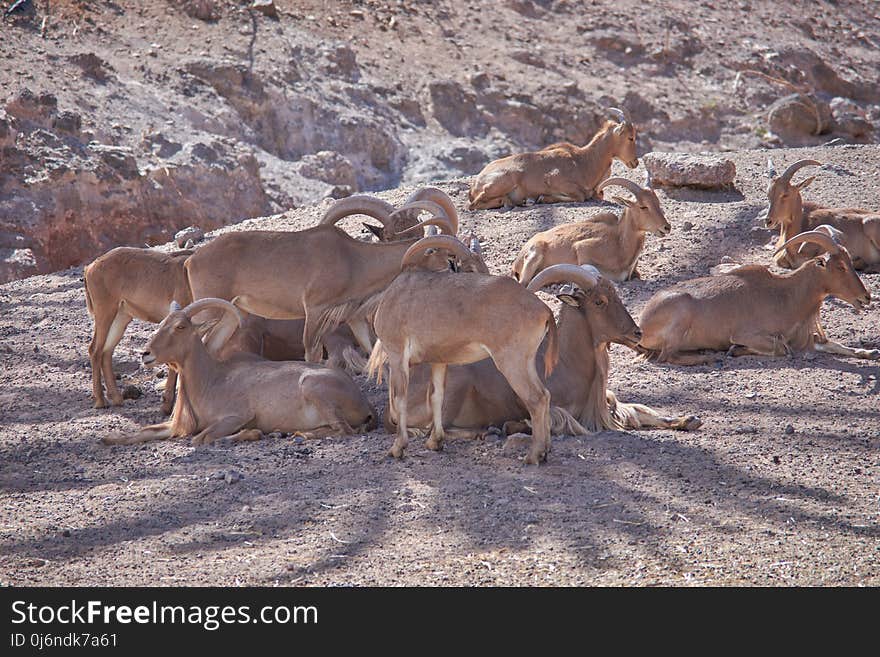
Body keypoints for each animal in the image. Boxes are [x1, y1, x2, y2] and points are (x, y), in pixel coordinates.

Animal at [104, 298, 378, 446]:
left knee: (344, 430)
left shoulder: (235, 416)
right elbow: (143, 432)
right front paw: (109, 438)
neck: (210, 380)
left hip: (313, 387)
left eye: (180, 327)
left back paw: (298, 432)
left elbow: (201, 438)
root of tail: (365, 402)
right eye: (162, 324)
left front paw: (252, 433)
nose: (146, 354)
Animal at [468, 107, 640, 209]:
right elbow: (580, 196)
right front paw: (541, 198)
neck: (584, 161)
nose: (635, 162)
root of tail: (476, 183)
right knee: (475, 204)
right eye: (630, 137)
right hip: (506, 179)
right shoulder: (557, 180)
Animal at [508, 173, 668, 284]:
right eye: (643, 206)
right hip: (535, 253)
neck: (619, 245)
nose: (667, 227)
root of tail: (517, 262)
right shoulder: (582, 249)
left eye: (657, 203)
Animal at [636, 229, 876, 364]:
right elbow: (782, 349)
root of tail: (644, 323)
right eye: (841, 267)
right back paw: (706, 358)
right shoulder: (746, 334)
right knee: (667, 356)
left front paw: (869, 351)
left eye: (851, 262)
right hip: (681, 315)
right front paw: (734, 349)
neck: (788, 295)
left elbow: (837, 346)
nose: (866, 297)